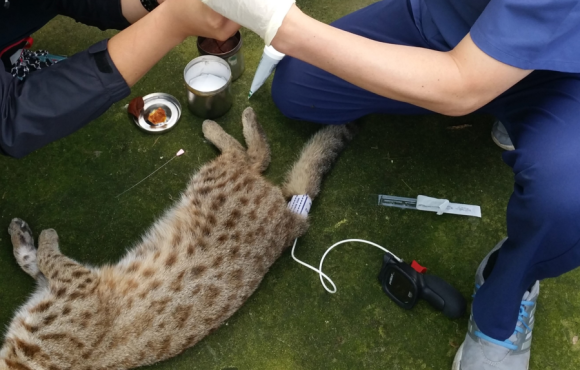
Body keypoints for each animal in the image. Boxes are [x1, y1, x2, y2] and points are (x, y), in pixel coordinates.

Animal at [0, 107, 356, 370]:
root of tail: (291, 224)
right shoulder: (52, 284)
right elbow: (31, 259)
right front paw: (21, 236)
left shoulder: (77, 281)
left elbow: (46, 254)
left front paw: (43, 235)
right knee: (257, 158)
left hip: (210, 181)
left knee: (252, 156)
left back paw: (224, 124)